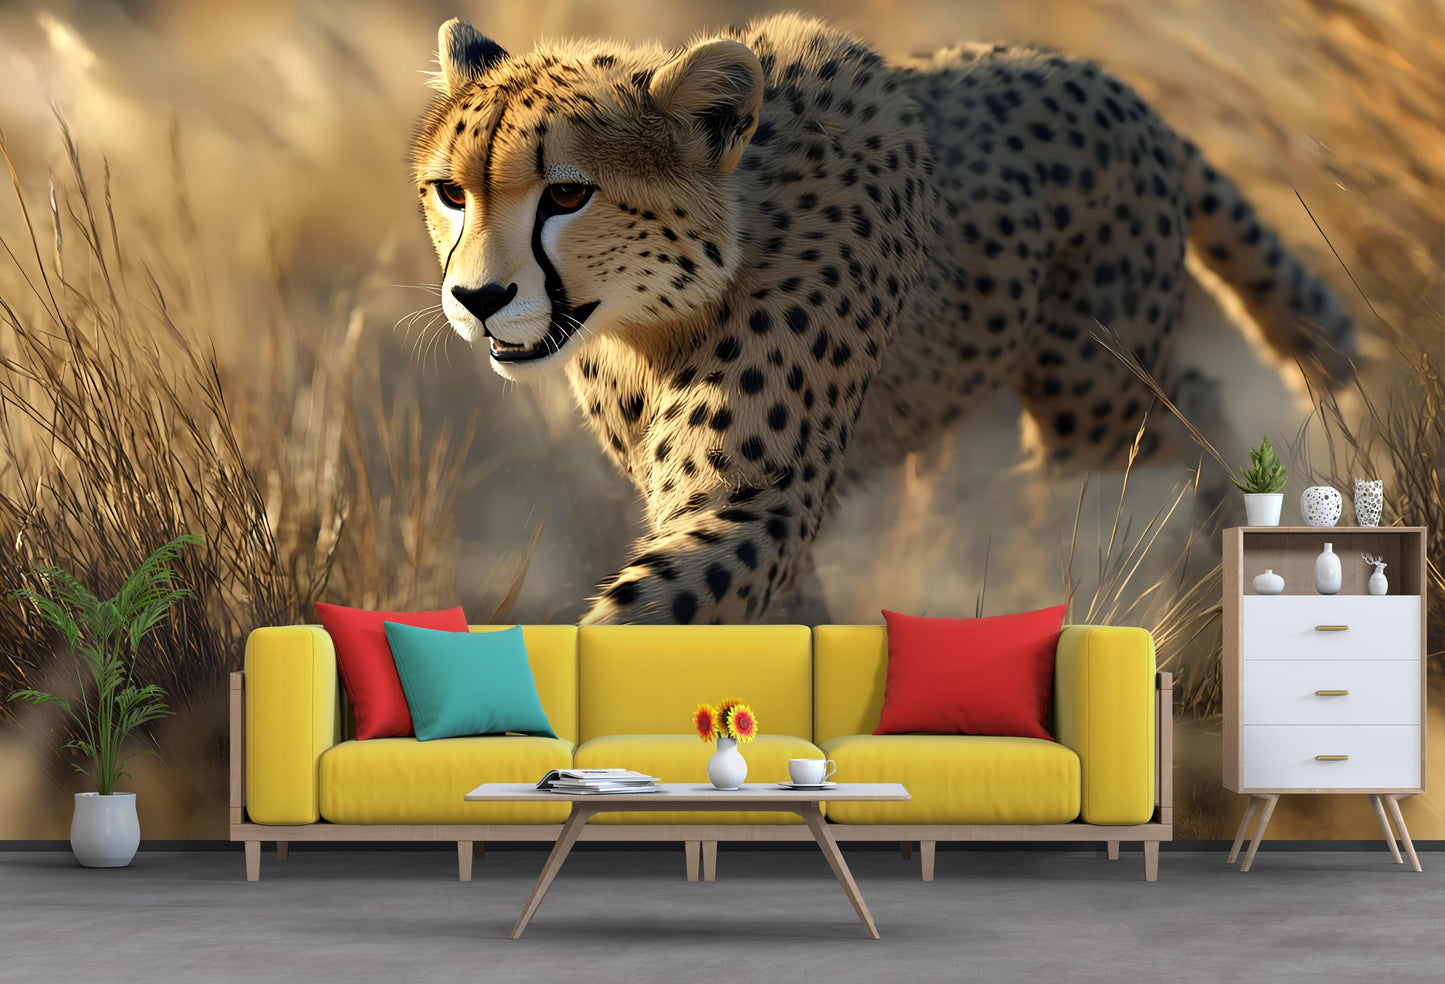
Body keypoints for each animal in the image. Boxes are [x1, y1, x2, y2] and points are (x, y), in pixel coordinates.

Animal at [410, 13, 1355, 625]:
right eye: (451, 192)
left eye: (568, 195)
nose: (476, 299)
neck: (656, 317)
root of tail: (1098, 76)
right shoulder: (751, 520)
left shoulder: (759, 500)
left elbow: (641, 615)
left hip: (1085, 398)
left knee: (1184, 401)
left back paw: (1227, 526)